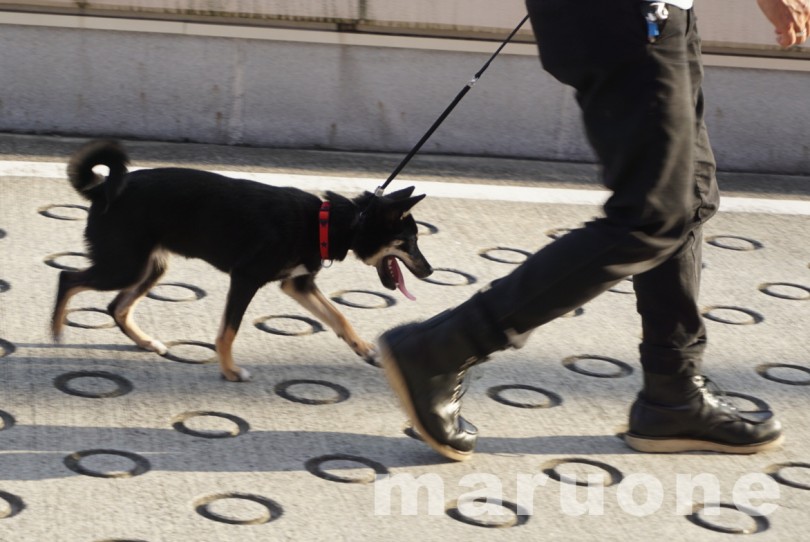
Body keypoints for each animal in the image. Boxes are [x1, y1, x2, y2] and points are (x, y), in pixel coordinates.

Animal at [52, 140, 432, 382]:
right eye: (410, 242)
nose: (429, 270)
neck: (327, 222)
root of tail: (101, 189)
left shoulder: (298, 284)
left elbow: (339, 317)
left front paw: (365, 350)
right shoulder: (246, 277)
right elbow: (228, 331)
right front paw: (230, 371)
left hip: (149, 267)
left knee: (116, 306)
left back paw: (146, 341)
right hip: (124, 265)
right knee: (68, 278)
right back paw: (56, 330)